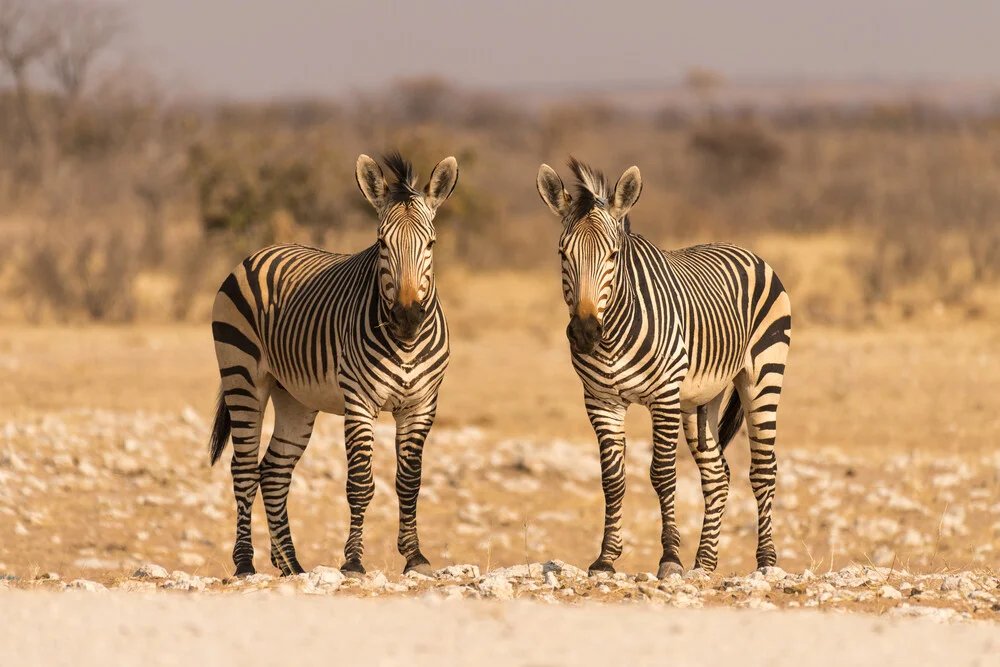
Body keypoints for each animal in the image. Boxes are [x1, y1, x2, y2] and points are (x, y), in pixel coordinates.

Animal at [211, 151, 460, 580]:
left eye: (430, 244)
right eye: (381, 244)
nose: (407, 317)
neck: (406, 344)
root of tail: (261, 252)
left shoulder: (422, 404)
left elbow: (409, 481)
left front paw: (415, 557)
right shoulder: (359, 402)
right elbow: (360, 483)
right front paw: (353, 561)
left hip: (294, 397)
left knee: (273, 472)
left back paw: (291, 564)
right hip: (242, 378)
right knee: (243, 470)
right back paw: (245, 563)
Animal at [536, 158, 792, 580]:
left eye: (612, 256)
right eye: (562, 254)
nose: (585, 332)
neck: (612, 334)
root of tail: (744, 250)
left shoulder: (664, 396)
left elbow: (662, 474)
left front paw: (669, 558)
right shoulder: (601, 401)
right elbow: (612, 478)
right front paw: (606, 559)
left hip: (763, 375)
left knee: (763, 469)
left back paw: (766, 561)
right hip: (701, 398)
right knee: (717, 475)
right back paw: (704, 563)